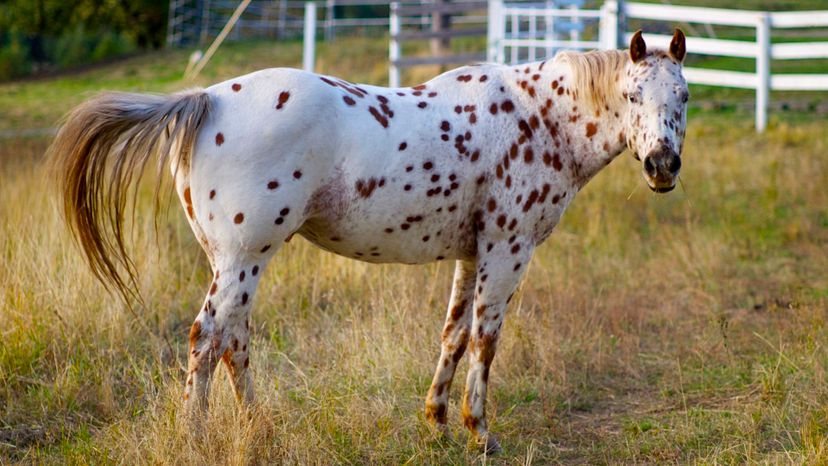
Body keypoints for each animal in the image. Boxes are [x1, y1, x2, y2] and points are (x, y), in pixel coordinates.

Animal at [48, 30, 688, 452]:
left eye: (681, 96)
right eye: (633, 96)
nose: (662, 166)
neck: (538, 118)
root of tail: (207, 99)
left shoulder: (470, 254)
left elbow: (454, 335)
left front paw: (437, 420)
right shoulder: (508, 251)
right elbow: (486, 341)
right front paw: (480, 433)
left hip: (234, 263)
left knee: (234, 341)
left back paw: (259, 427)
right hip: (243, 259)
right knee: (208, 339)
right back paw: (195, 437)